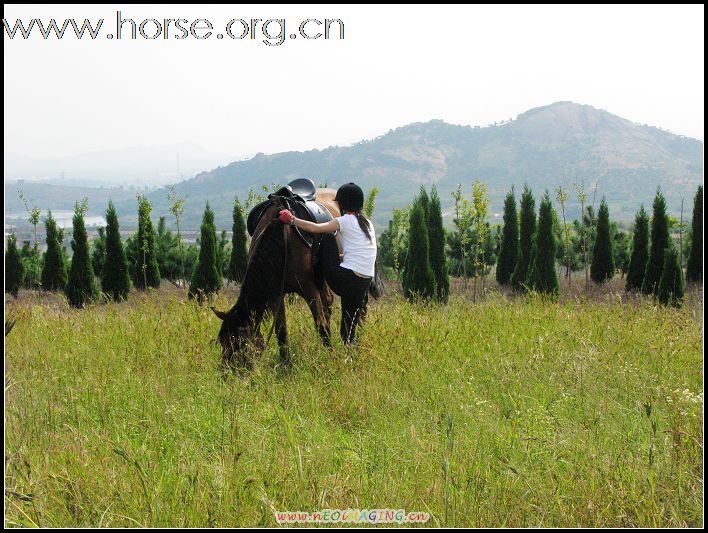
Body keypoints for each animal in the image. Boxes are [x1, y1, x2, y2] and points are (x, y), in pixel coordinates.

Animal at [210, 188, 382, 370]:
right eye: (222, 341)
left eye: (239, 343)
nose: (226, 372)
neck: (282, 241)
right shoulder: (276, 294)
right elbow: (281, 330)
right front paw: (286, 365)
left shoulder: (309, 289)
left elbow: (321, 326)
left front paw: (330, 358)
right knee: (328, 304)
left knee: (356, 309)